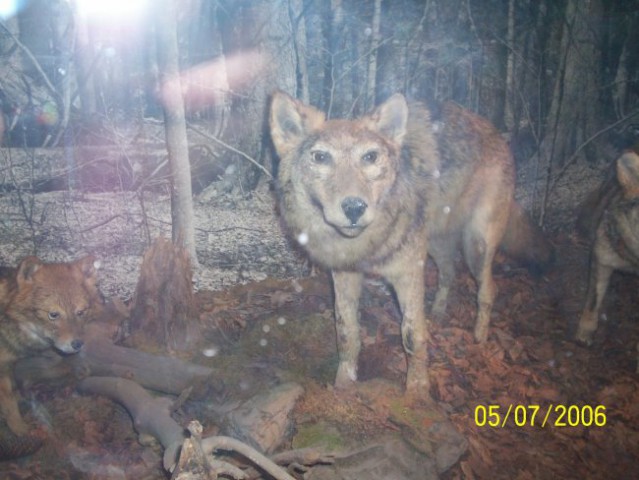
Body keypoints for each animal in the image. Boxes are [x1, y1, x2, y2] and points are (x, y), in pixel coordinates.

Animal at [270, 93, 556, 398]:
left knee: (489, 289)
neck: (366, 245)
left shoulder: (407, 274)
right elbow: (347, 332)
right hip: (436, 244)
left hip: (475, 247)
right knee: (449, 274)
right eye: (321, 157)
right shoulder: (345, 274)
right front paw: (343, 386)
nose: (354, 207)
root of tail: (497, 134)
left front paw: (417, 393)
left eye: (370, 157)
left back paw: (479, 336)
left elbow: (412, 334)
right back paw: (439, 313)